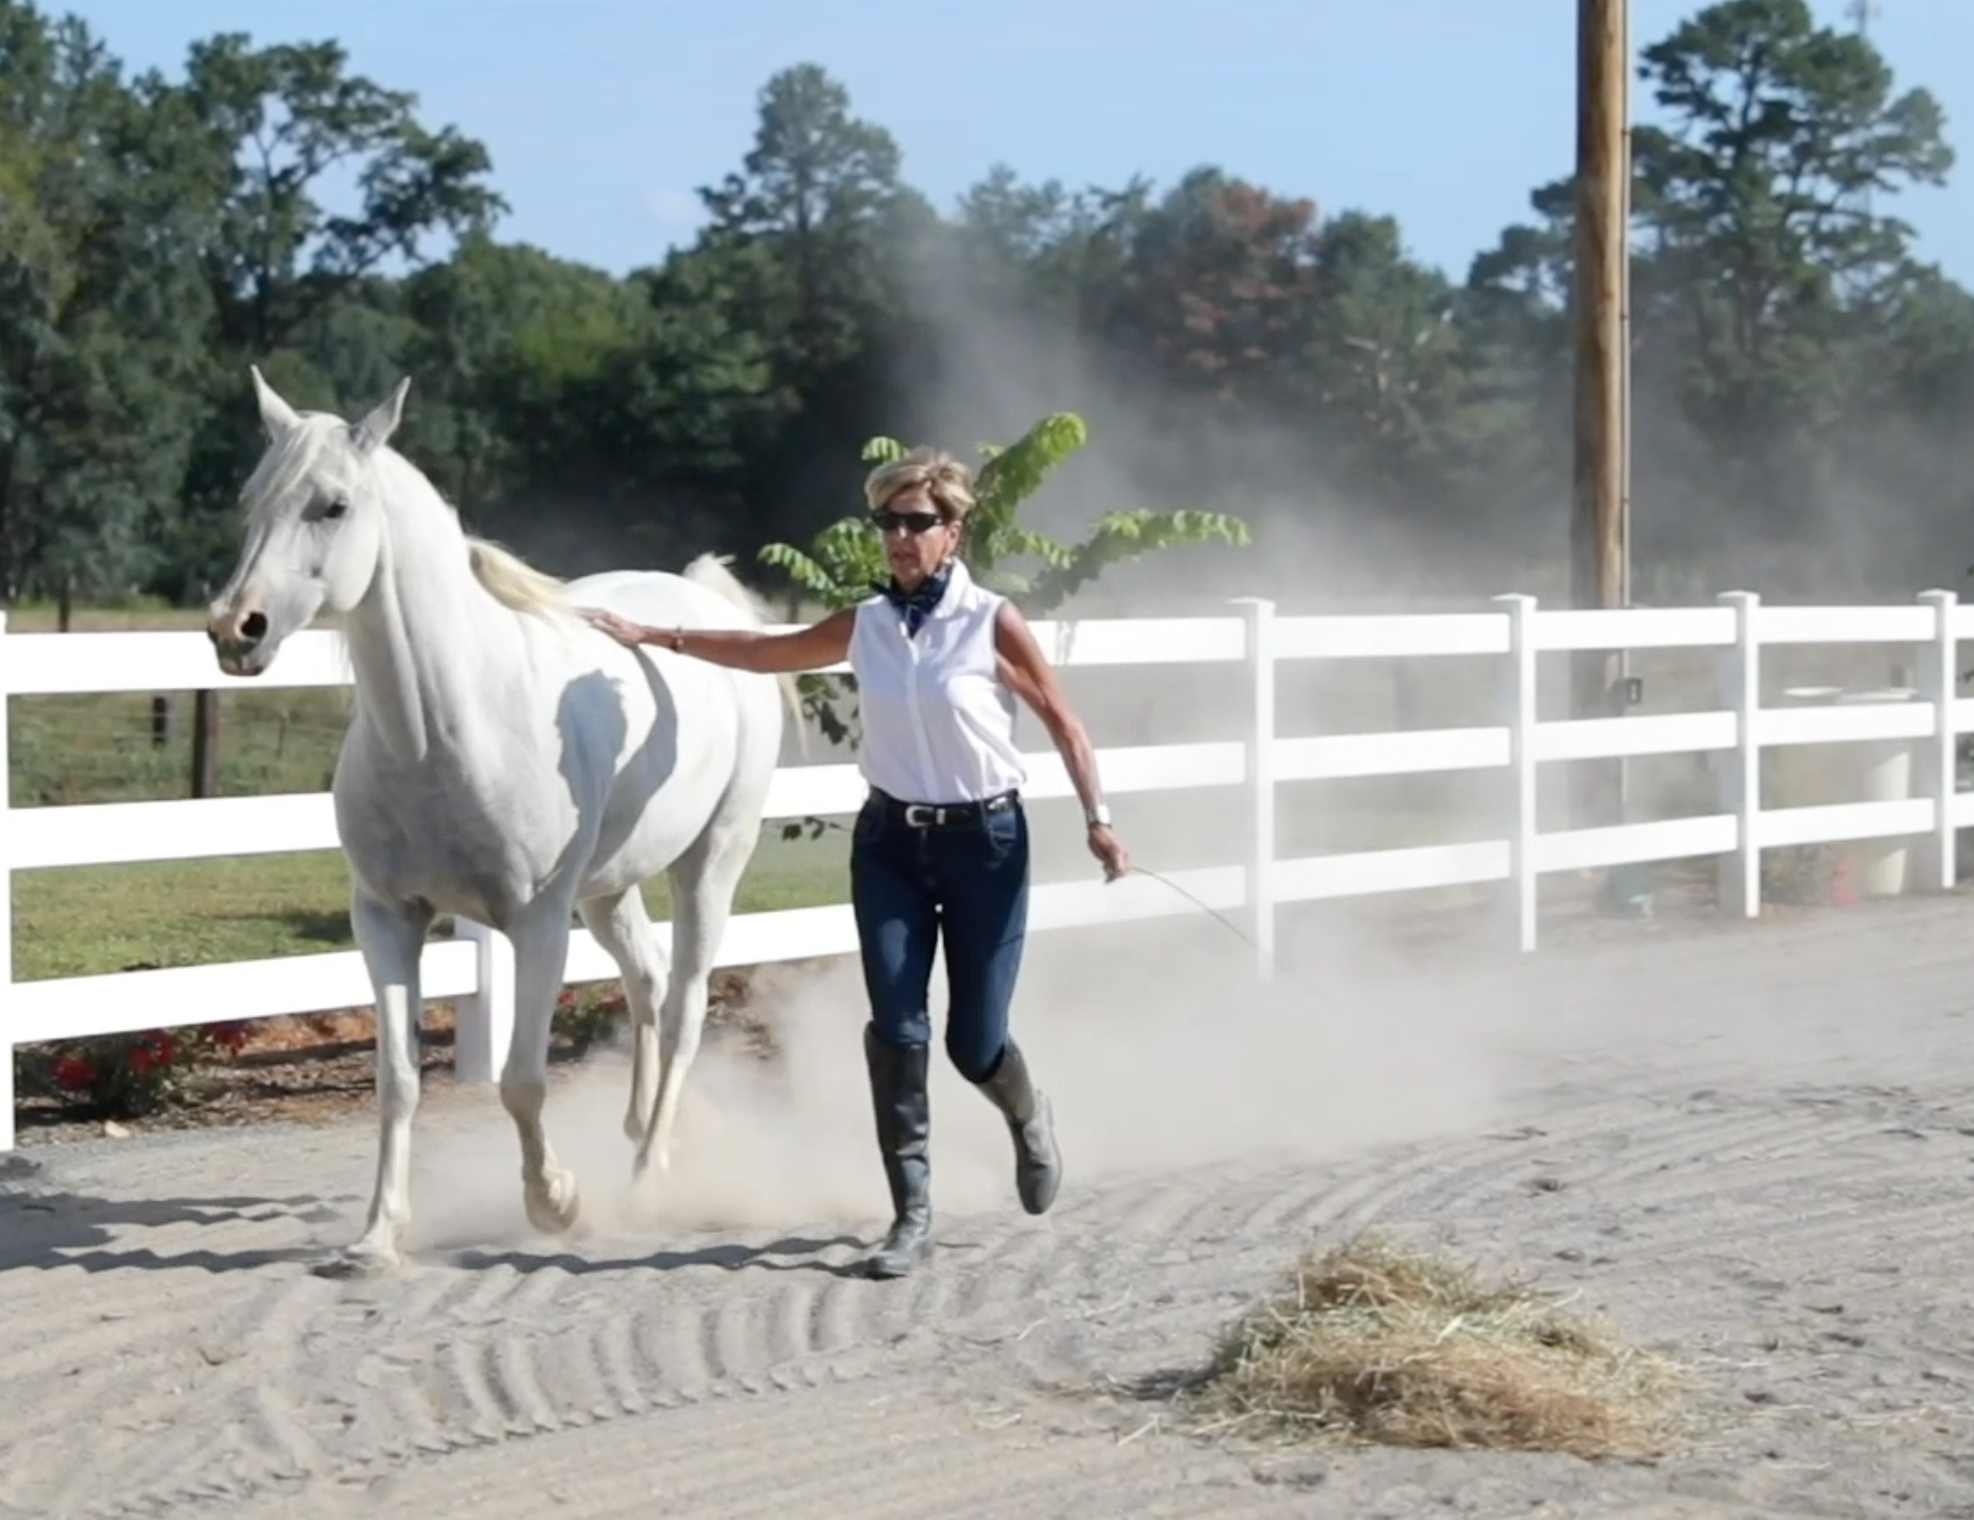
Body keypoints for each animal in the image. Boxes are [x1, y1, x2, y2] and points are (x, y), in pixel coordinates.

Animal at [205, 368, 796, 1277]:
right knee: (650, 981)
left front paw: (556, 1202)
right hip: (610, 890)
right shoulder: (386, 919)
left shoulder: (538, 923)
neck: (451, 731)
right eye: (251, 498)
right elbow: (399, 1079)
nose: (236, 629)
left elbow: (521, 1080)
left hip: (710, 863)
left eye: (333, 505)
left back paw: (647, 1173)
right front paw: (376, 1237)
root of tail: (707, 600)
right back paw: (639, 1129)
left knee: (688, 1005)